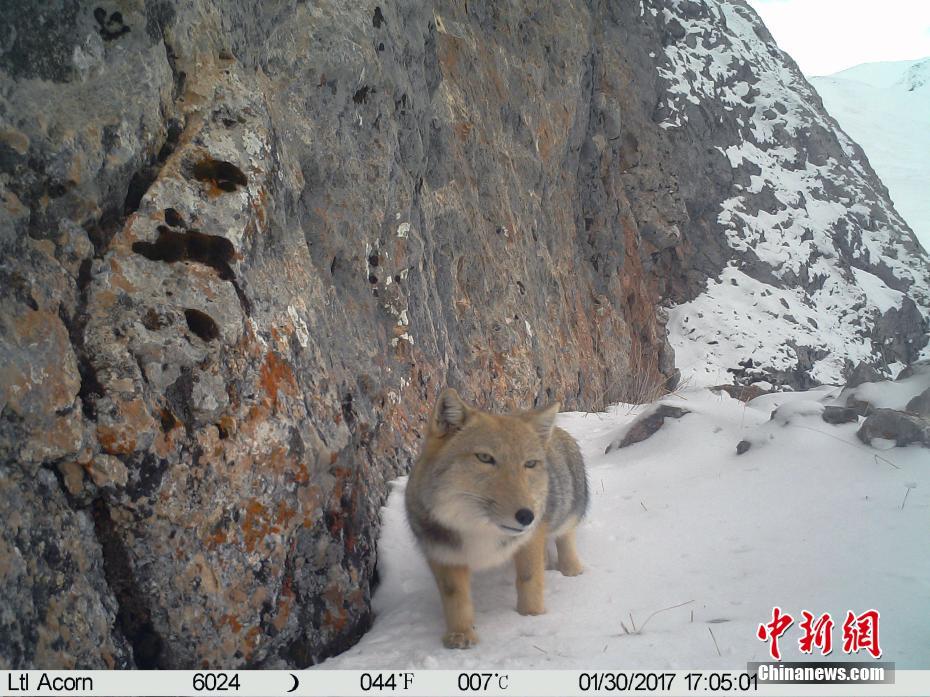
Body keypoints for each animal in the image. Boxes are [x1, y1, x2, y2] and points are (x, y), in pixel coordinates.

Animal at [400, 386, 588, 648]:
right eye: (485, 458)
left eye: (530, 463)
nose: (527, 516)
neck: (479, 531)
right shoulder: (442, 553)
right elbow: (456, 600)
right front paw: (460, 635)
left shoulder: (530, 538)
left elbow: (529, 580)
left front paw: (532, 617)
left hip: (565, 513)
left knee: (565, 537)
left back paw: (570, 568)